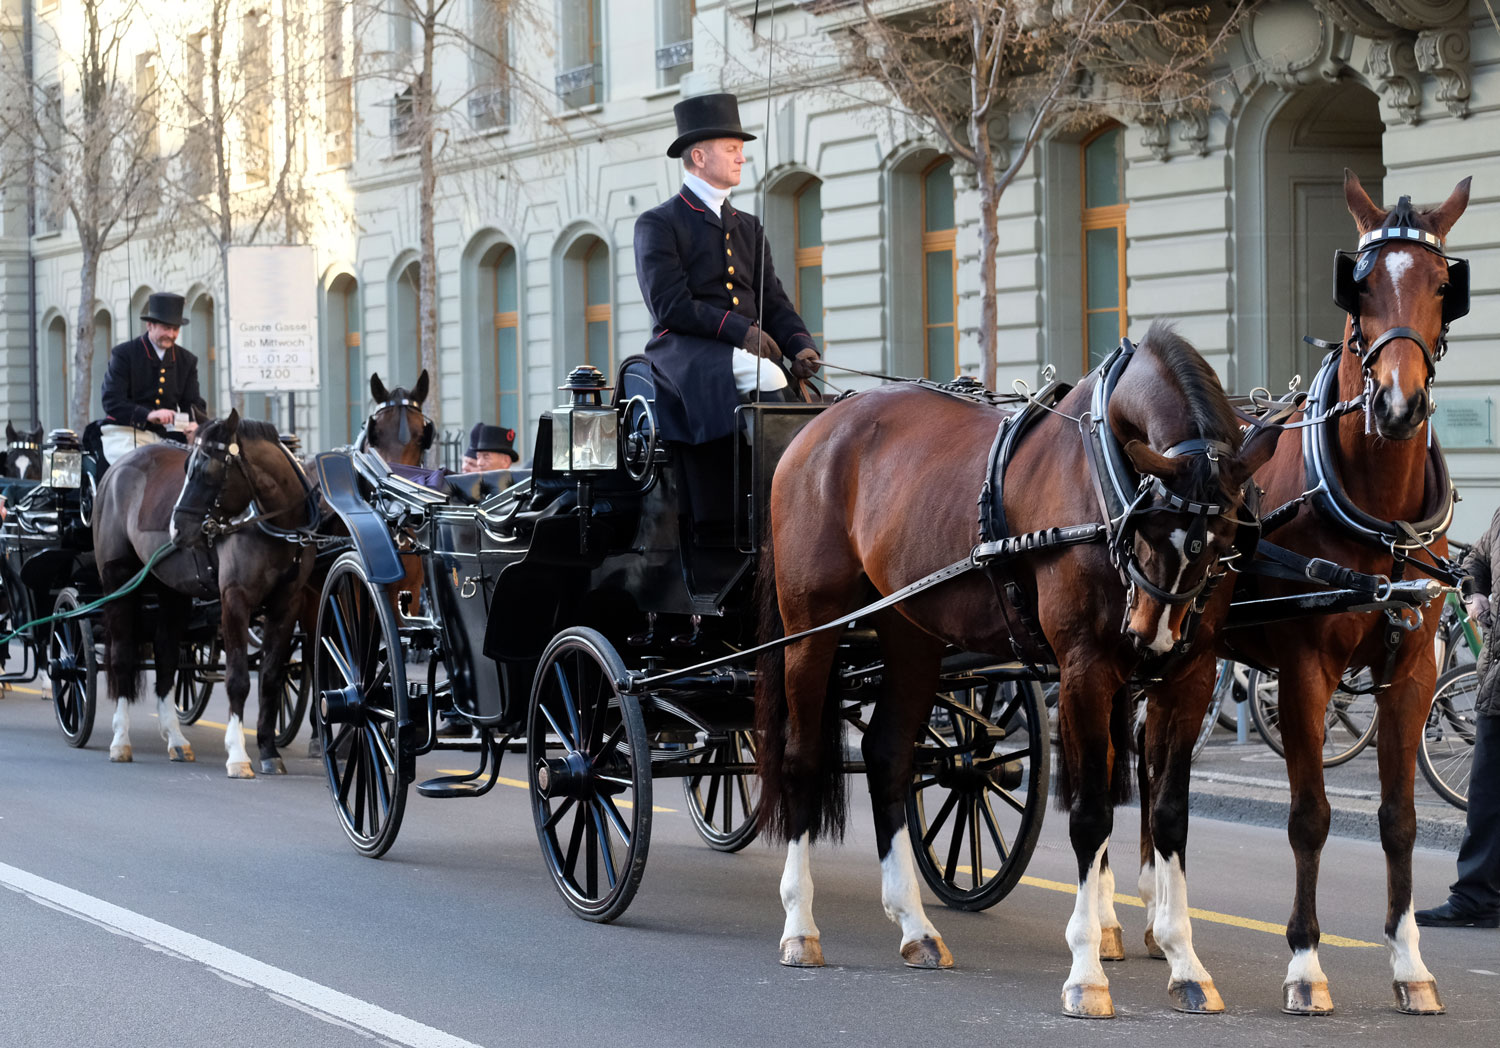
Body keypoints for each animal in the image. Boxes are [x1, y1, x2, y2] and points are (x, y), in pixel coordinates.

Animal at [93, 413, 316, 773]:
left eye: (206, 469)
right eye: (188, 467)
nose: (176, 529)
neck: (278, 525)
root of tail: (116, 470)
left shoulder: (287, 603)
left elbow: (270, 677)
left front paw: (269, 751)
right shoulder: (235, 600)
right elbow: (238, 678)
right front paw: (238, 754)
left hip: (170, 591)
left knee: (166, 658)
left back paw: (176, 739)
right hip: (118, 582)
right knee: (122, 658)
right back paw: (120, 741)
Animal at [756, 325, 1272, 1019]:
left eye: (1220, 541)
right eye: (1148, 524)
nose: (1151, 636)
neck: (1102, 478)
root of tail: (819, 427)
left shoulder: (1188, 675)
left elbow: (1168, 815)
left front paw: (1184, 962)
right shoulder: (1085, 669)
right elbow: (1090, 815)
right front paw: (1087, 972)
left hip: (910, 631)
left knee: (888, 756)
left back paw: (916, 926)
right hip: (812, 626)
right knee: (802, 759)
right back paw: (800, 926)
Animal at [1134, 172, 1464, 1019]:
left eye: (1443, 285)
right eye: (1360, 287)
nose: (1397, 406)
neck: (1374, 509)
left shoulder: (1413, 671)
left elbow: (1399, 818)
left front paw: (1410, 963)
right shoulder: (1305, 673)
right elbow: (1311, 817)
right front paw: (1307, 964)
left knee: (1152, 766)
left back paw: (1152, 920)